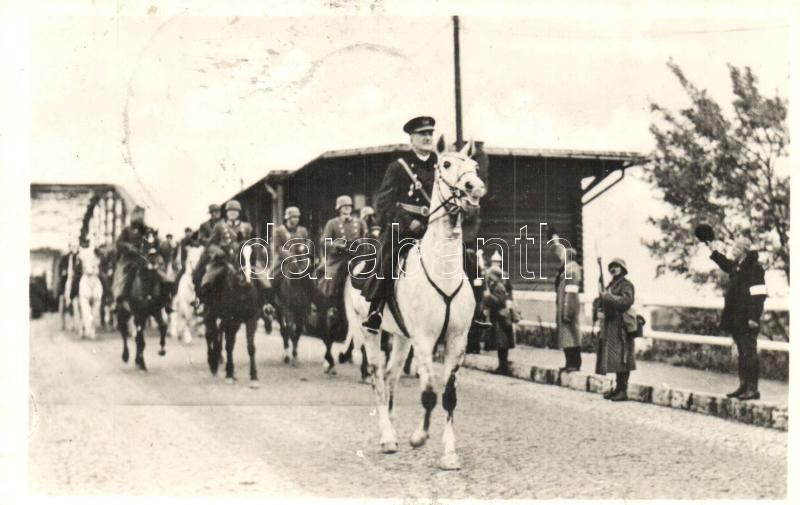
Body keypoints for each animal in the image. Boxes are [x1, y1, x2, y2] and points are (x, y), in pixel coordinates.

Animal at [203, 244, 261, 387]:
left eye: (254, 256)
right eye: (239, 255)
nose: (246, 281)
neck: (242, 292)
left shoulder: (251, 319)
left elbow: (250, 347)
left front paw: (254, 377)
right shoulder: (229, 319)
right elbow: (228, 345)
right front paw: (229, 374)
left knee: (220, 334)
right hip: (210, 313)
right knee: (210, 334)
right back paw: (213, 362)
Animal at [343, 137, 486, 470]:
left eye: (474, 166)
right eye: (446, 164)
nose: (475, 188)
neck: (442, 270)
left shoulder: (456, 341)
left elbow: (448, 396)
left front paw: (449, 454)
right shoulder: (424, 340)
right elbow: (430, 394)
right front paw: (419, 437)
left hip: (400, 338)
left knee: (391, 376)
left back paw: (393, 427)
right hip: (369, 333)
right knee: (377, 378)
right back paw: (387, 437)